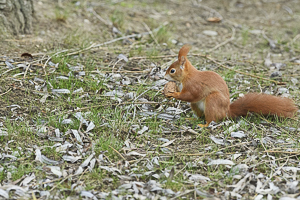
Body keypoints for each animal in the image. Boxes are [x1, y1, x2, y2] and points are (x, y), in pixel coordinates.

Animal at [164, 44, 298, 127]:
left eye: (172, 71)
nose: (164, 76)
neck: (187, 77)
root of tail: (226, 112)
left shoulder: (194, 85)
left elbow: (190, 95)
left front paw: (173, 93)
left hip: (213, 100)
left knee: (211, 119)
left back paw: (204, 125)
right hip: (196, 105)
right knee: (200, 115)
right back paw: (192, 119)